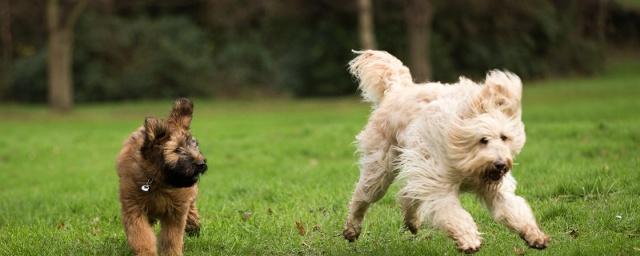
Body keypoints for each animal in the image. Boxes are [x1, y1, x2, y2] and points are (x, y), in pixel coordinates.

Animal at [117, 98, 208, 256]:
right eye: (177, 149)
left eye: (194, 145)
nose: (201, 163)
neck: (159, 181)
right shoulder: (134, 208)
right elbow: (141, 235)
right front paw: (146, 252)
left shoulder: (176, 211)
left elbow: (172, 237)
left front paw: (172, 253)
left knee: (191, 207)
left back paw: (193, 223)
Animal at [342, 49, 548, 252]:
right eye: (483, 140)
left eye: (504, 137)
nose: (500, 165)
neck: (467, 160)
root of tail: (398, 89)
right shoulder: (437, 183)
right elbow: (453, 213)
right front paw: (468, 239)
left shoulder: (495, 190)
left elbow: (513, 209)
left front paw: (534, 235)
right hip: (381, 168)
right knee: (362, 195)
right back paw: (352, 229)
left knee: (407, 195)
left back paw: (412, 221)